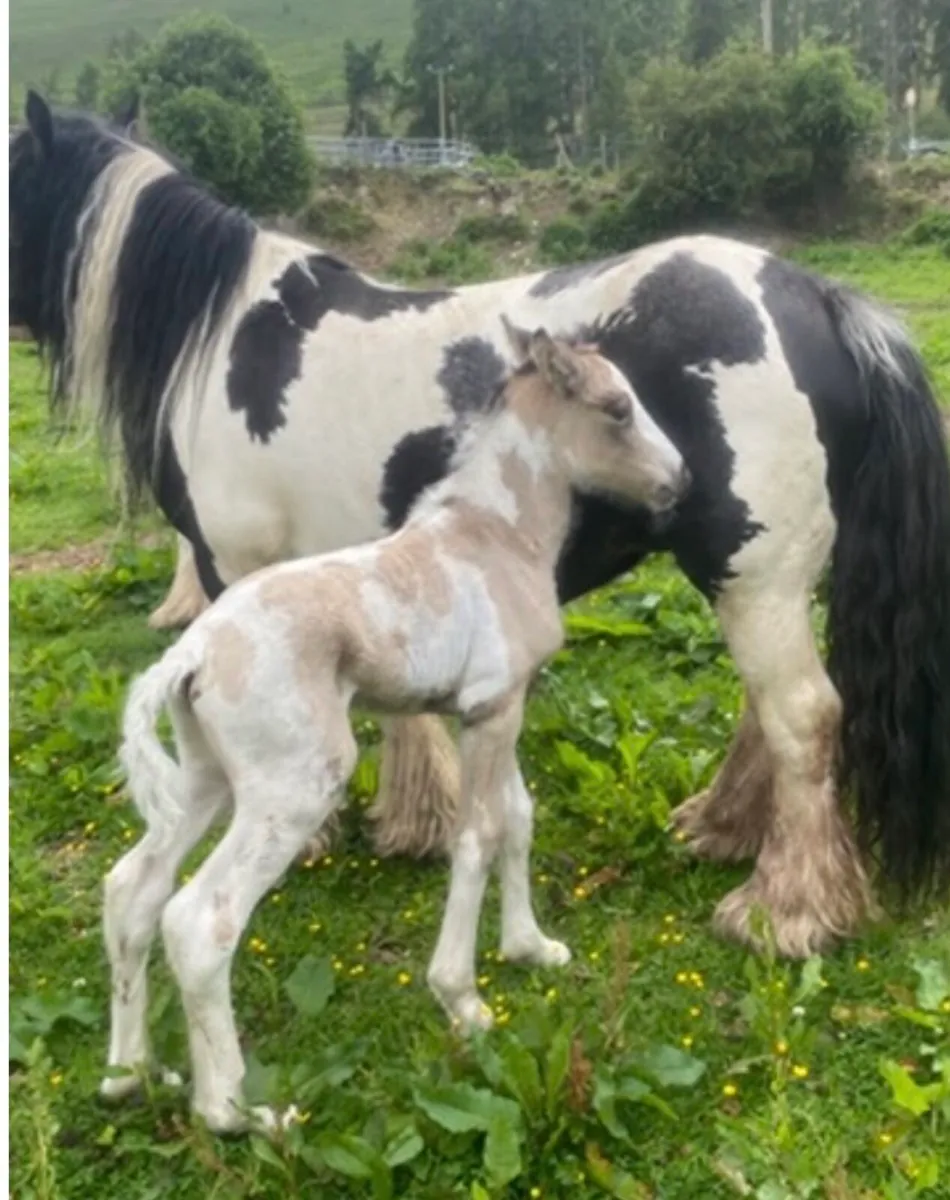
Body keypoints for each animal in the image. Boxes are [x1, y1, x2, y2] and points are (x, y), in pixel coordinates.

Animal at [10, 91, 950, 960]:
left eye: (10, 173)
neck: (232, 343)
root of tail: (817, 299)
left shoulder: (237, 574)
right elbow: (406, 714)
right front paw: (417, 819)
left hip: (751, 578)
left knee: (802, 715)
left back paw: (783, 910)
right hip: (767, 582)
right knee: (768, 711)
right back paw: (723, 828)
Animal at [103, 322, 688, 1132]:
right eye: (618, 408)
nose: (680, 480)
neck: (497, 535)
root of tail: (191, 654)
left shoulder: (500, 705)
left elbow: (520, 817)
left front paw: (531, 947)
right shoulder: (489, 711)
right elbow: (477, 837)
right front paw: (462, 999)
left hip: (206, 779)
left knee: (132, 888)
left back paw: (130, 1073)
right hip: (295, 787)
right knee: (199, 920)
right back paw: (236, 1112)